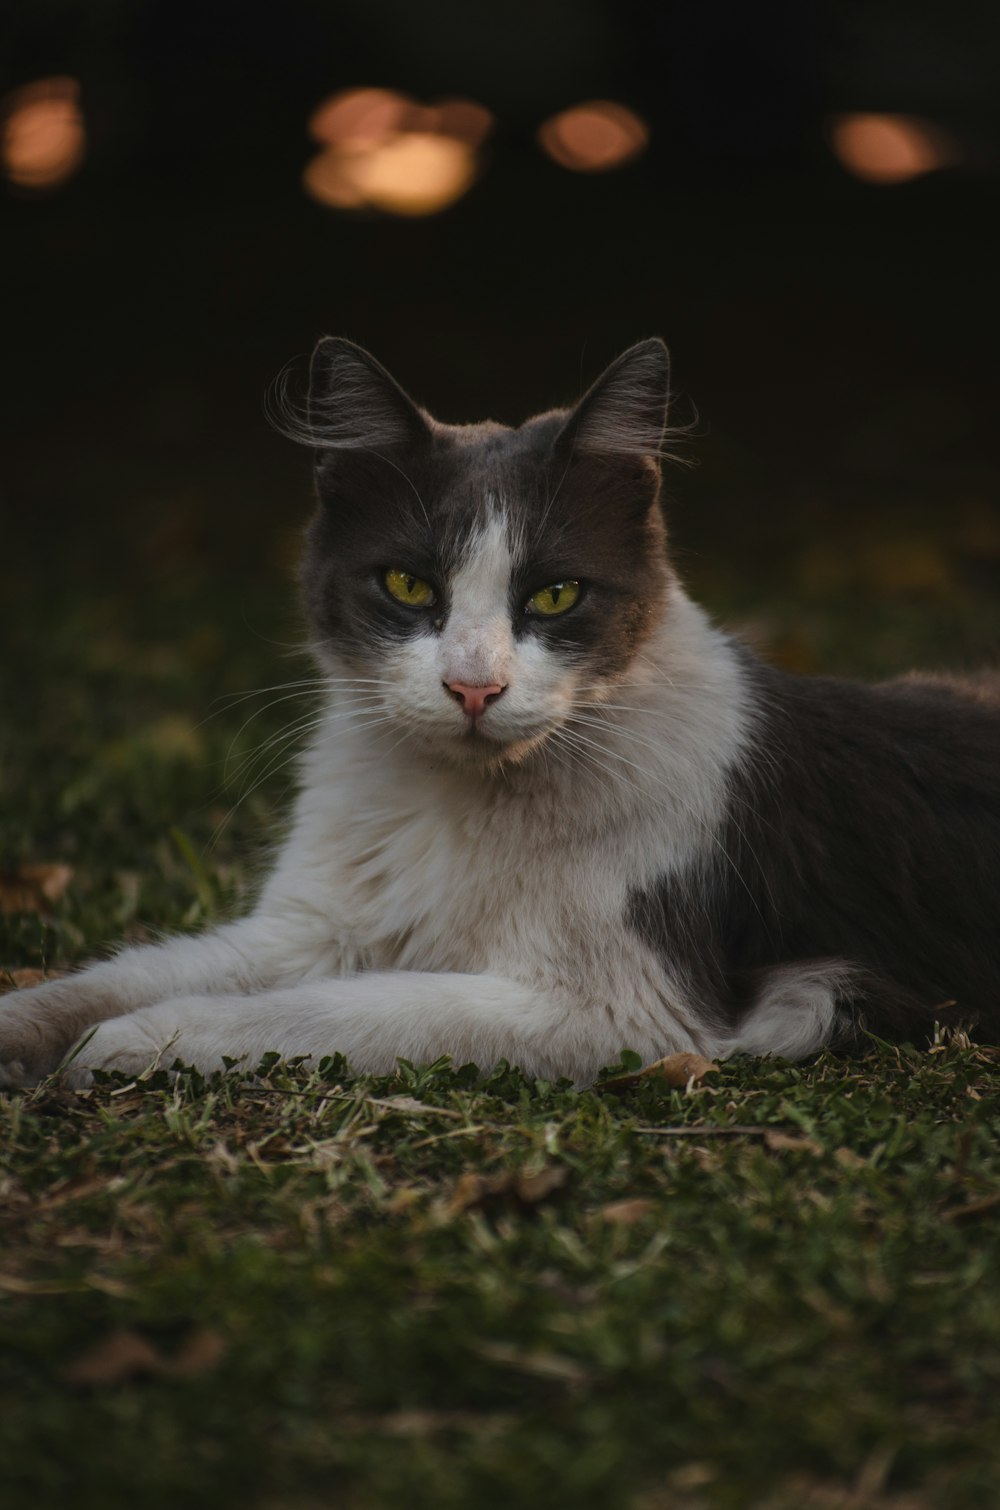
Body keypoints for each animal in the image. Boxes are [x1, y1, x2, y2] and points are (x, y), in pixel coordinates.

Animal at [1, 333, 1000, 1087]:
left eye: (556, 596)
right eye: (408, 584)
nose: (473, 687)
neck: (458, 808)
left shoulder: (620, 1010)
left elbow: (315, 1014)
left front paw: (130, 1043)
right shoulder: (316, 926)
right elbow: (123, 974)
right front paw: (40, 1032)